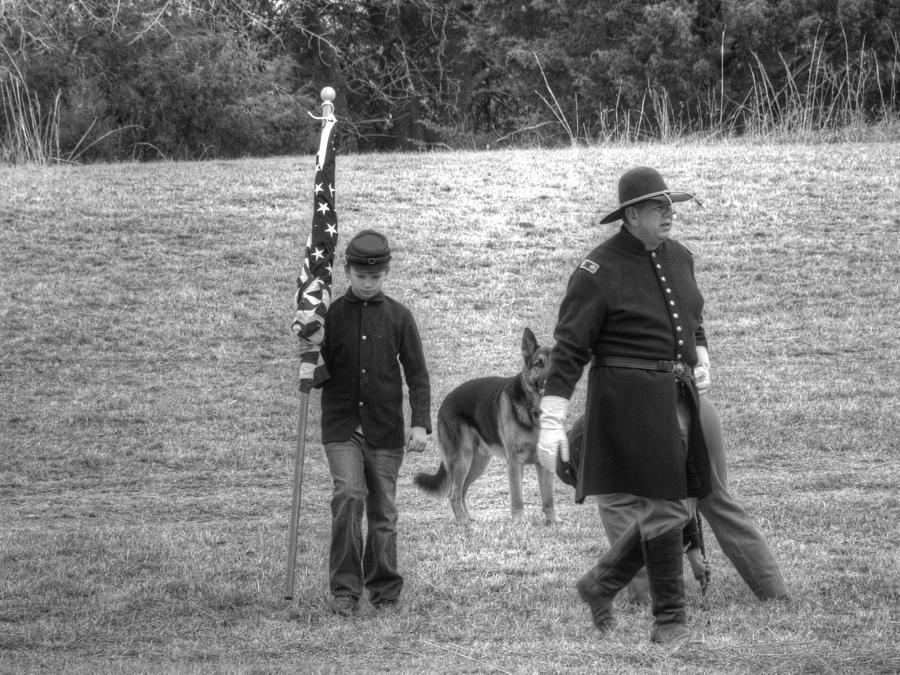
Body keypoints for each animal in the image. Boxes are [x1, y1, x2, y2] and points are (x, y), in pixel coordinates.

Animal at [414, 330, 556, 524]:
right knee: (453, 494)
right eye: (539, 363)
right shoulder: (515, 462)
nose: (551, 380)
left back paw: (468, 520)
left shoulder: (544, 462)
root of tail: (447, 398)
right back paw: (463, 522)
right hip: (463, 458)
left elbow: (548, 498)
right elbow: (517, 497)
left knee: (462, 490)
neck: (533, 411)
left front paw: (553, 522)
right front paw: (518, 523)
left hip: (477, 462)